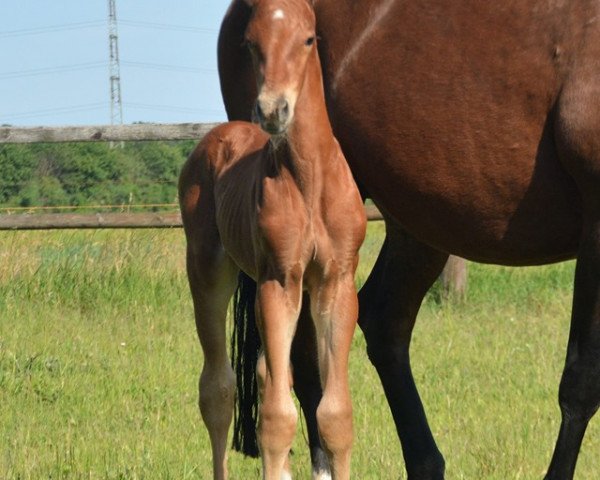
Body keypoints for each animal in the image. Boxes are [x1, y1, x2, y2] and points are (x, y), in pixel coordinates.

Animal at [178, 1, 366, 478]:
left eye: (309, 39)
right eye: (250, 42)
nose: (272, 109)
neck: (310, 179)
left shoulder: (336, 282)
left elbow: (335, 415)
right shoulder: (279, 281)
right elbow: (277, 419)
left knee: (265, 376)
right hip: (208, 273)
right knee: (218, 389)